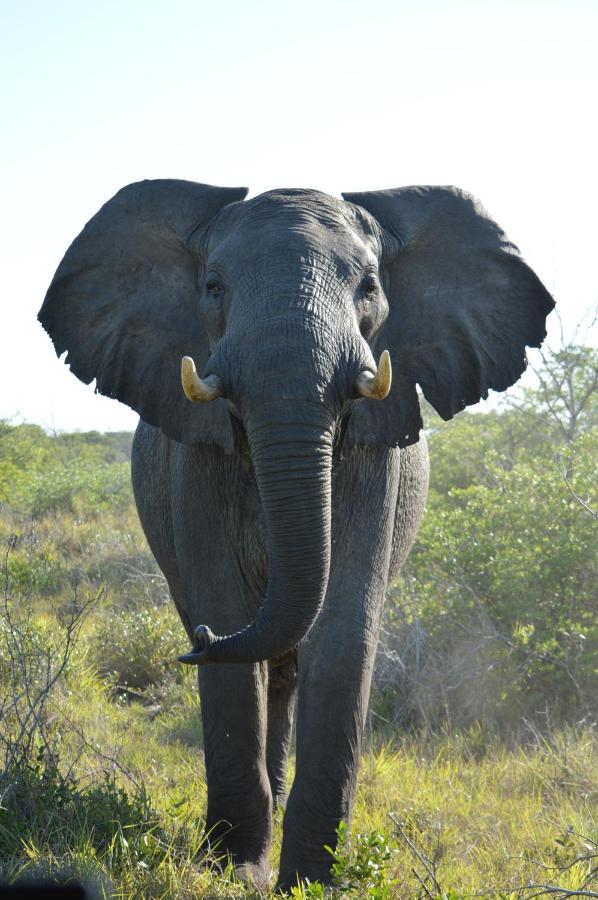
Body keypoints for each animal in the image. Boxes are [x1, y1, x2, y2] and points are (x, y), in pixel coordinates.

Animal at [37, 179, 556, 888]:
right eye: (213, 286)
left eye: (370, 285)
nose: (199, 643)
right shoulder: (195, 460)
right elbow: (231, 617)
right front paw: (236, 872)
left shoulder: (374, 457)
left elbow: (341, 629)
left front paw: (310, 881)